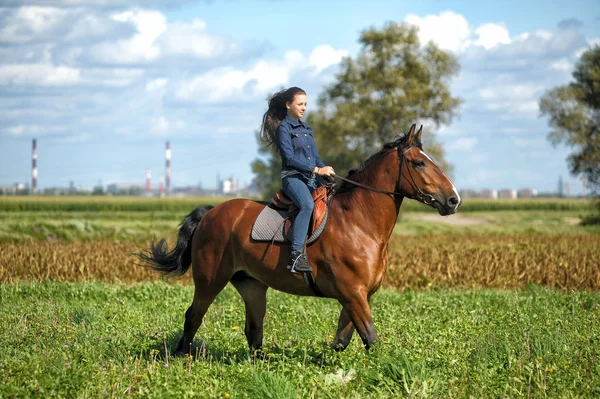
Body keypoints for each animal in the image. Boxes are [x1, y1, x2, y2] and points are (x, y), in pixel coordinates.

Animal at [138, 123, 462, 354]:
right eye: (419, 164)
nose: (453, 200)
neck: (360, 224)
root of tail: (210, 213)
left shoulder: (359, 296)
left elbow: (342, 340)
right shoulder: (353, 294)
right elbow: (370, 337)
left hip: (252, 285)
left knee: (253, 331)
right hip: (209, 280)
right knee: (193, 316)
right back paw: (180, 357)